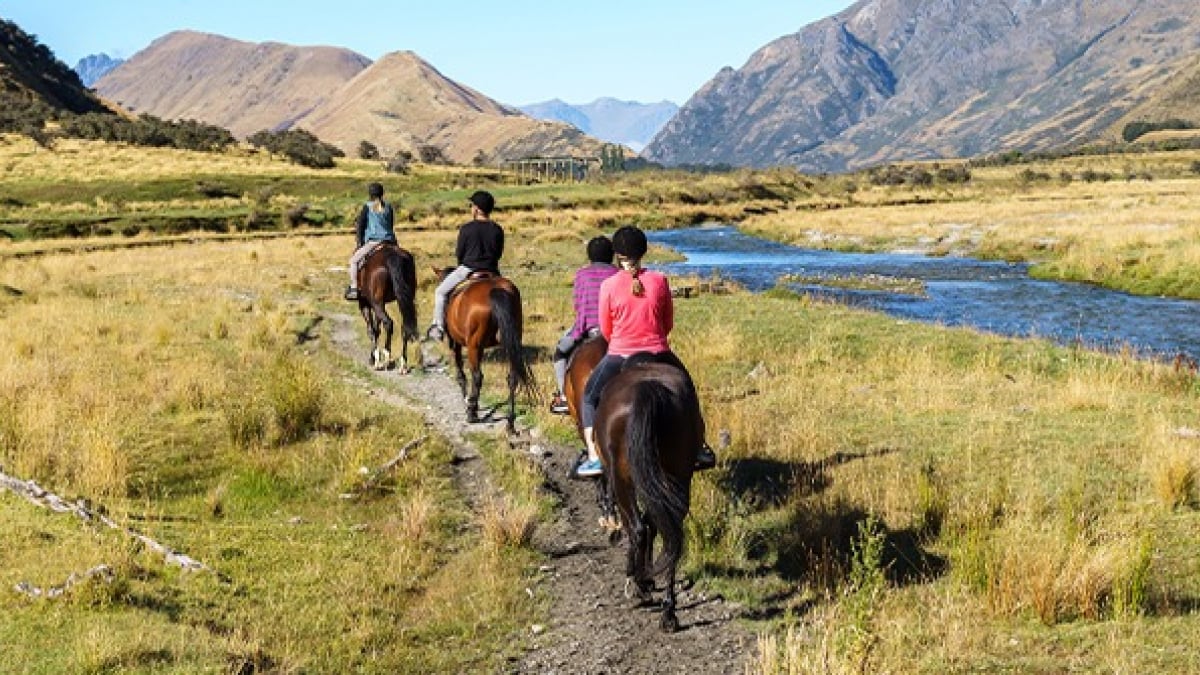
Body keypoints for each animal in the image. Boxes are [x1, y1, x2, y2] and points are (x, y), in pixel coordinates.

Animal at [355, 241, 417, 369]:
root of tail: (392, 255)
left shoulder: (365, 304)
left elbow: (371, 330)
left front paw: (373, 358)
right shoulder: (378, 305)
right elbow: (377, 329)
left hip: (376, 303)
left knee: (388, 323)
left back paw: (385, 358)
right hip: (403, 299)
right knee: (405, 326)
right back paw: (403, 363)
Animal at [432, 265, 535, 427]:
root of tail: (496, 289)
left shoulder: (456, 344)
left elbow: (461, 374)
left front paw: (467, 401)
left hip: (474, 346)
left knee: (477, 376)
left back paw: (472, 414)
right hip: (510, 341)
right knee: (512, 377)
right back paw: (510, 422)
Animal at [592, 360, 700, 629]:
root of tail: (648, 388)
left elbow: (640, 527)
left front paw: (642, 579)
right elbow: (654, 525)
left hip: (623, 480)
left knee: (638, 528)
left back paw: (637, 584)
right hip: (678, 476)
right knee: (672, 534)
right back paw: (669, 612)